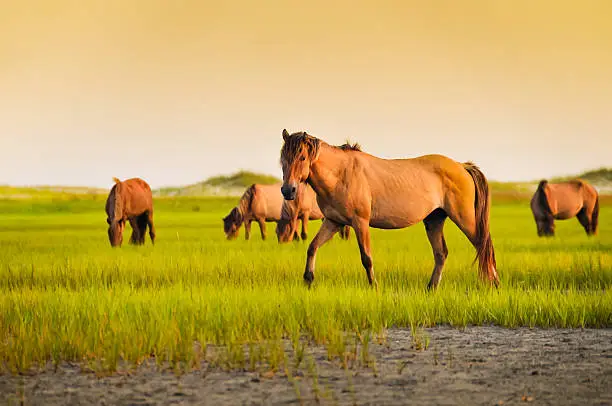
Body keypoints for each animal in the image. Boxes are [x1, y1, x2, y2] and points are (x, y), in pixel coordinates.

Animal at [280, 128, 500, 290]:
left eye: (302, 157)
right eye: (283, 158)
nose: (288, 190)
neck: (342, 174)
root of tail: (462, 166)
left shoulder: (360, 222)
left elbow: (366, 258)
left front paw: (374, 287)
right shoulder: (333, 222)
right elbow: (312, 247)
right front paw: (308, 279)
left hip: (465, 219)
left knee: (483, 245)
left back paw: (494, 284)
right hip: (434, 220)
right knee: (441, 254)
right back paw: (431, 288)